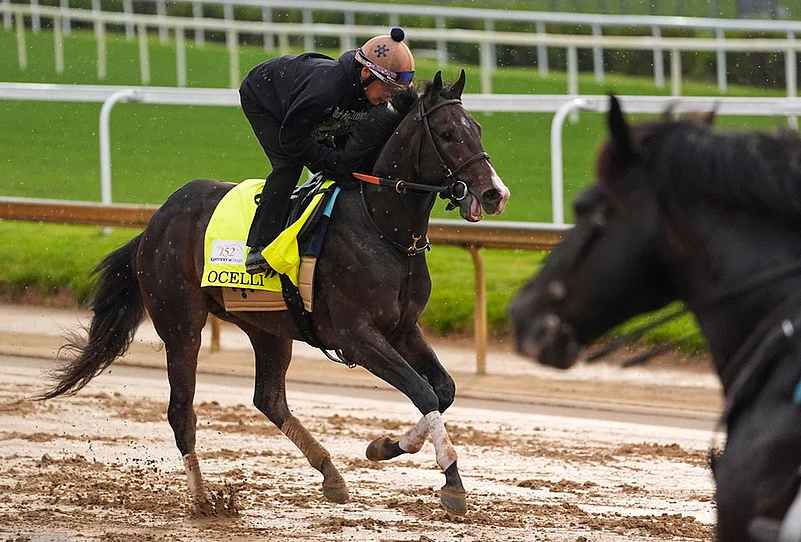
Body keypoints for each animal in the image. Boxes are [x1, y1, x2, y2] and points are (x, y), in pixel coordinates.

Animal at [38, 71, 510, 516]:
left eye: (478, 129)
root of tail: (155, 222)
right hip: (181, 323)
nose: (495, 193)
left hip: (267, 327)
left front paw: (387, 446)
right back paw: (203, 500)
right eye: (447, 134)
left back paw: (330, 473)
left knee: (268, 398)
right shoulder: (358, 336)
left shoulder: (403, 329)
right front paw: (452, 483)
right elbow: (423, 391)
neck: (382, 227)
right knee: (181, 411)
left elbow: (443, 389)